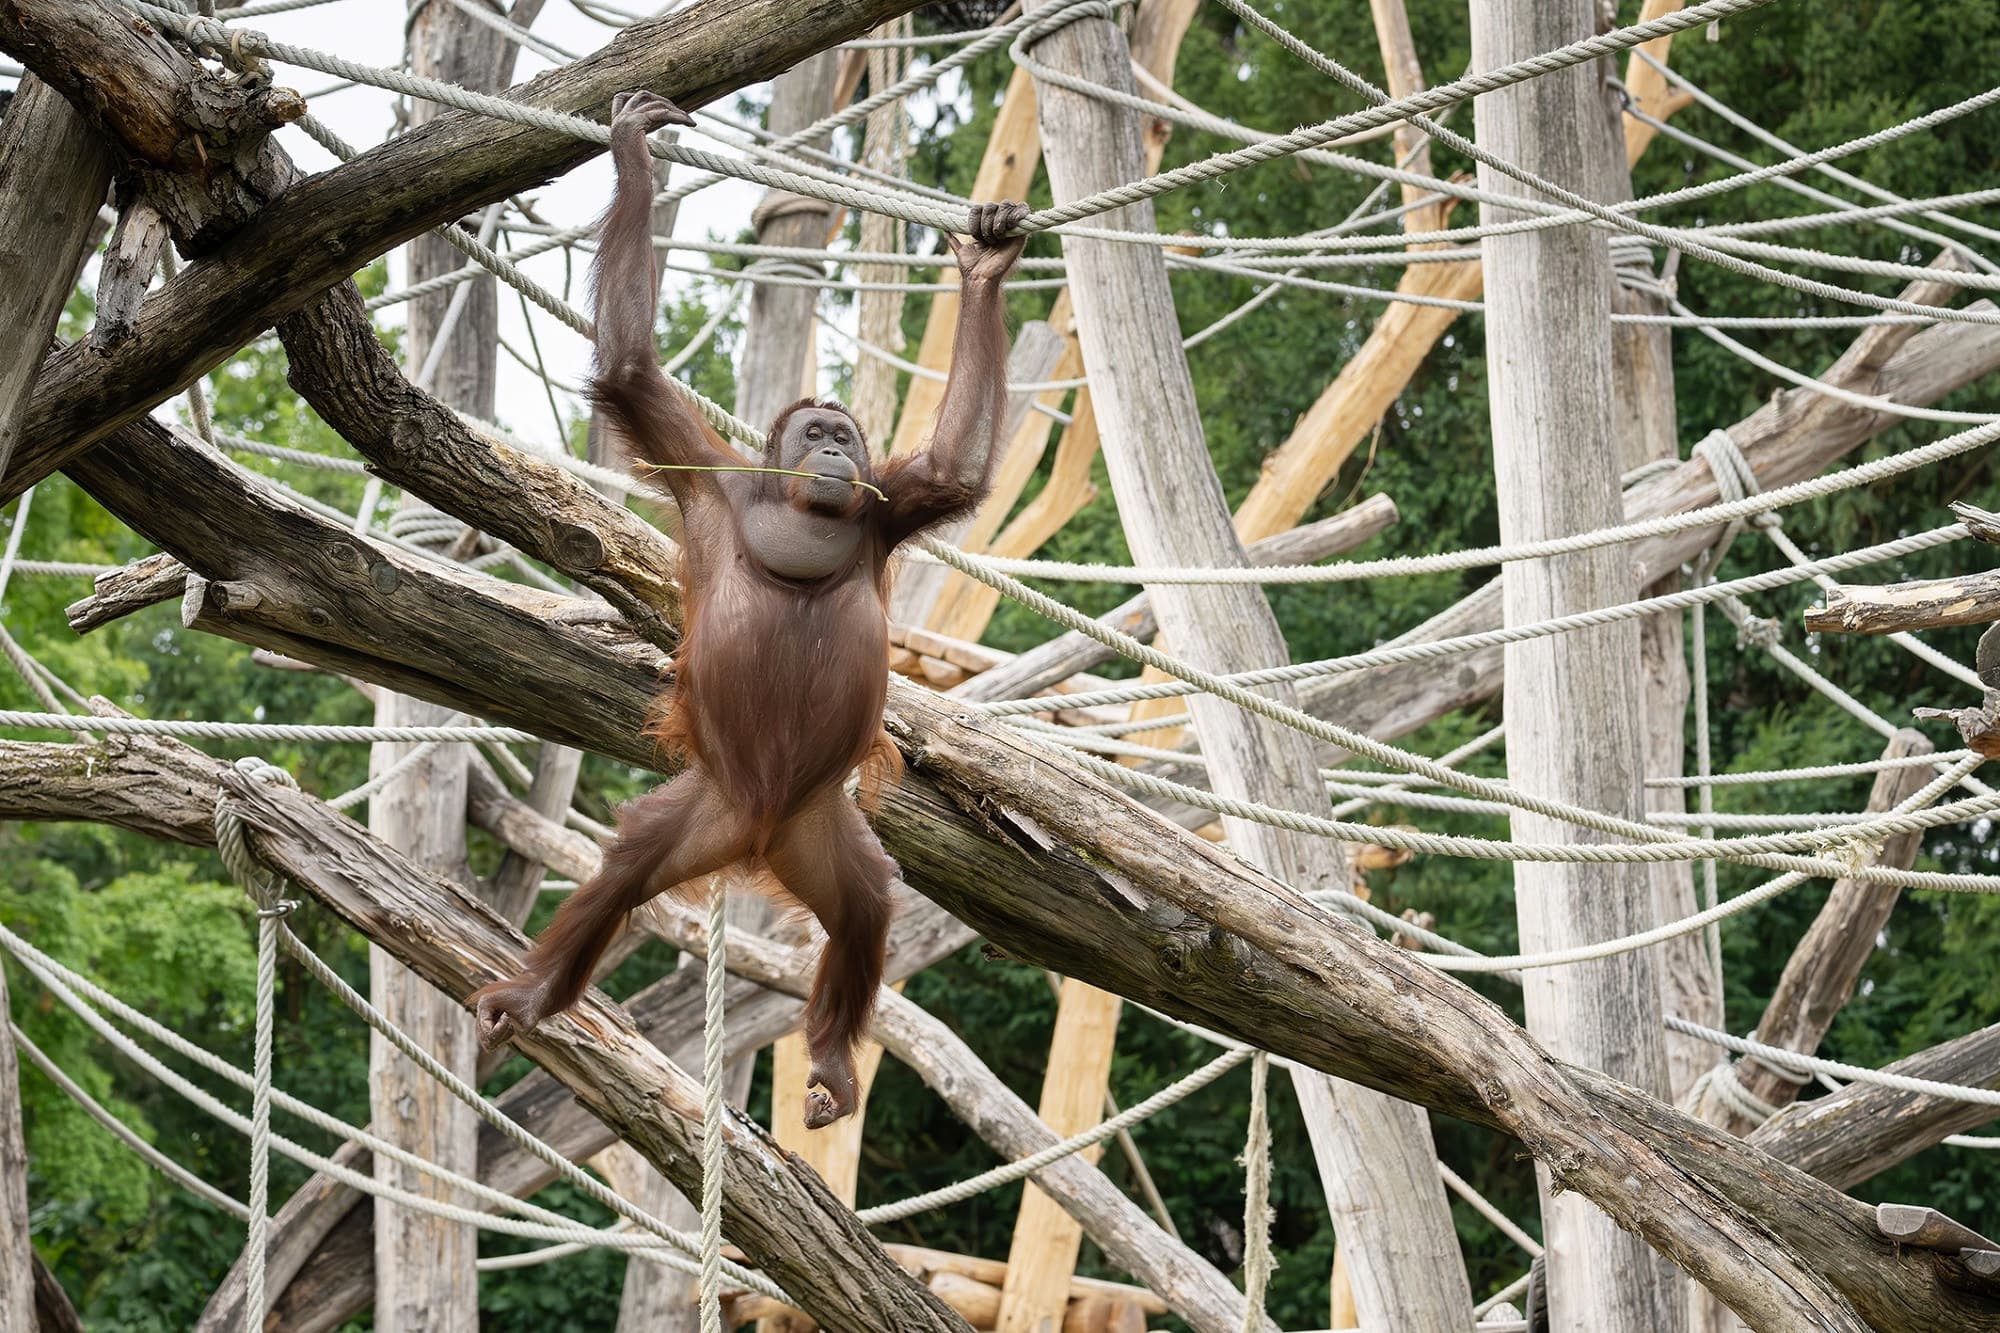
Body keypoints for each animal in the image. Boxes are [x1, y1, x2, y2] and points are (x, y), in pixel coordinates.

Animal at [469, 89, 1030, 1129]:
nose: (839, 451)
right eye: (815, 433)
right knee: (627, 865)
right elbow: (631, 373)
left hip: (820, 829)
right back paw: (536, 994)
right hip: (706, 805)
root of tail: (758, 832)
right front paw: (635, 154)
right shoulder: (706, 468)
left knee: (867, 904)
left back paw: (833, 1060)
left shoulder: (892, 506)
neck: (805, 509)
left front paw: (983, 269)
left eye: (846, 436)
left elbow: (956, 468)